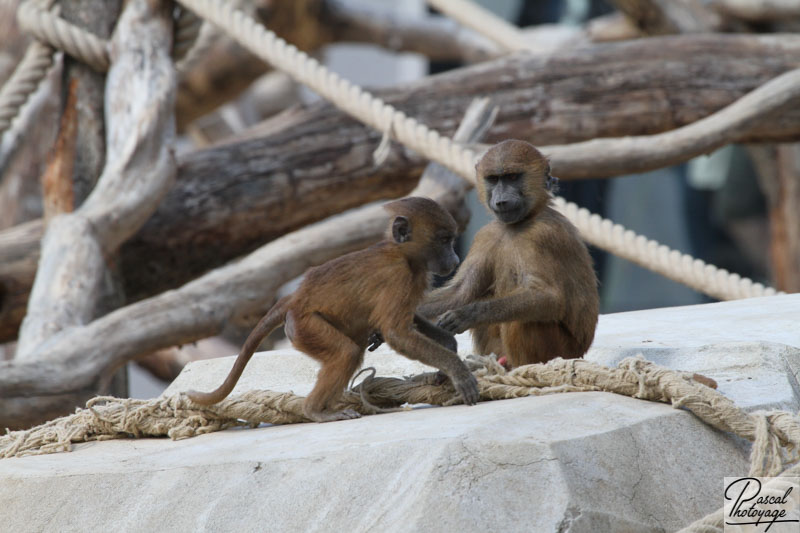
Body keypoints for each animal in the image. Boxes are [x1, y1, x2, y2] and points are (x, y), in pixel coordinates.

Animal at [187, 195, 476, 420]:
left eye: (451, 240)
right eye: (444, 240)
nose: (455, 259)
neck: (403, 254)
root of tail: (296, 297)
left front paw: (448, 346)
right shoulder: (399, 276)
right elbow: (397, 333)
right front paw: (457, 370)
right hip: (305, 326)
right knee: (346, 353)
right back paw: (316, 411)